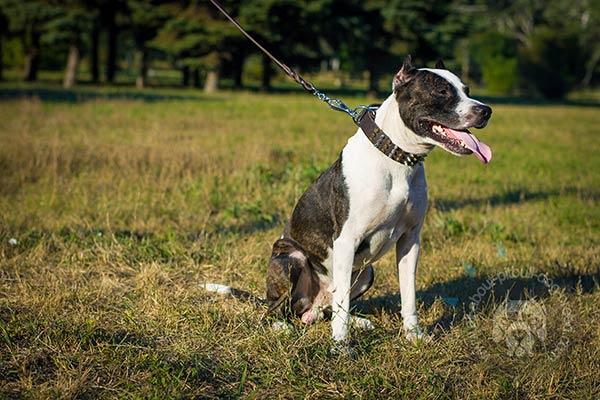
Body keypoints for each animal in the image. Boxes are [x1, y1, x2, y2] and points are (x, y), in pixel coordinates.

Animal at [264, 56, 492, 346]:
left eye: (467, 90)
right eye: (442, 91)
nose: (486, 111)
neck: (398, 158)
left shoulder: (410, 240)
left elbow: (409, 295)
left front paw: (413, 335)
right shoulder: (346, 240)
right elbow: (343, 306)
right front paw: (341, 346)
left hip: (365, 274)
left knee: (331, 305)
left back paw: (357, 322)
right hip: (291, 259)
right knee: (280, 308)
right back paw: (281, 325)